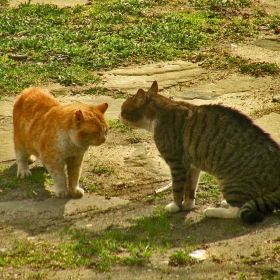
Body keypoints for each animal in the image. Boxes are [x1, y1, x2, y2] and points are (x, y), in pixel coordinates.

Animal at [119, 80, 280, 223]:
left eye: (122, 110)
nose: (118, 116)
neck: (159, 112)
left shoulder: (177, 164)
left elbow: (177, 189)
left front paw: (175, 206)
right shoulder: (192, 166)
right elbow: (190, 189)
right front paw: (187, 205)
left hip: (230, 181)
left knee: (237, 211)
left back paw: (212, 211)